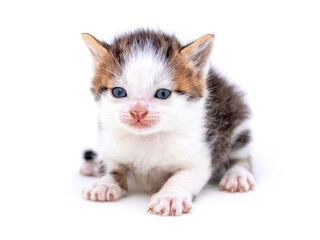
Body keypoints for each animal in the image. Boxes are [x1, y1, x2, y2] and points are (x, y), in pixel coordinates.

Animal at [80, 29, 255, 216]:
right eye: (119, 92)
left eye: (163, 93)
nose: (138, 111)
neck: (147, 138)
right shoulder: (110, 143)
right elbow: (111, 166)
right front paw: (104, 183)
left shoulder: (199, 154)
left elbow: (183, 177)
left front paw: (170, 196)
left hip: (236, 117)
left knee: (242, 155)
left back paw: (237, 175)